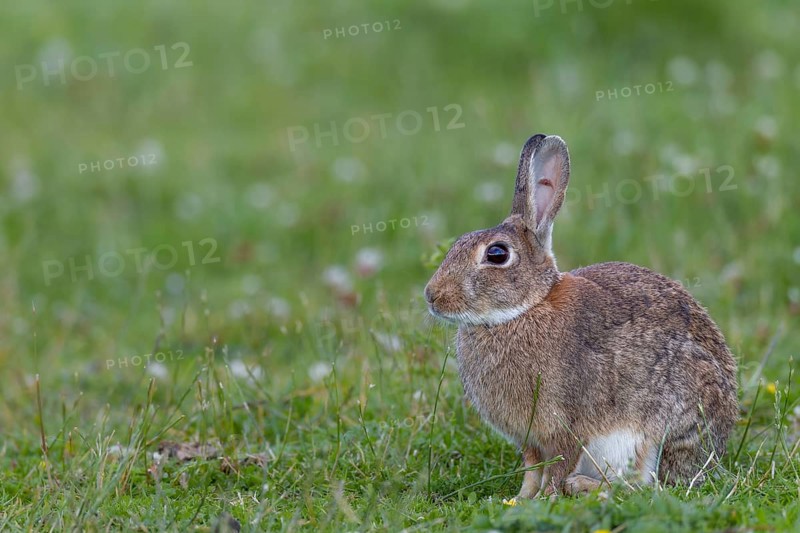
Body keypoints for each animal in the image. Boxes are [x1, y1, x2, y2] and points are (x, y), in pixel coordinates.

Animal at [424, 134, 738, 498]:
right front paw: (520, 499)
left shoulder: (566, 425)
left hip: (656, 431)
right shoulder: (530, 440)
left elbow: (559, 465)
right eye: (457, 243)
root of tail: (717, 447)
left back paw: (583, 485)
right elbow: (532, 469)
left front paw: (546, 498)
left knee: (644, 484)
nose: (432, 296)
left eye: (497, 254)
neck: (523, 310)